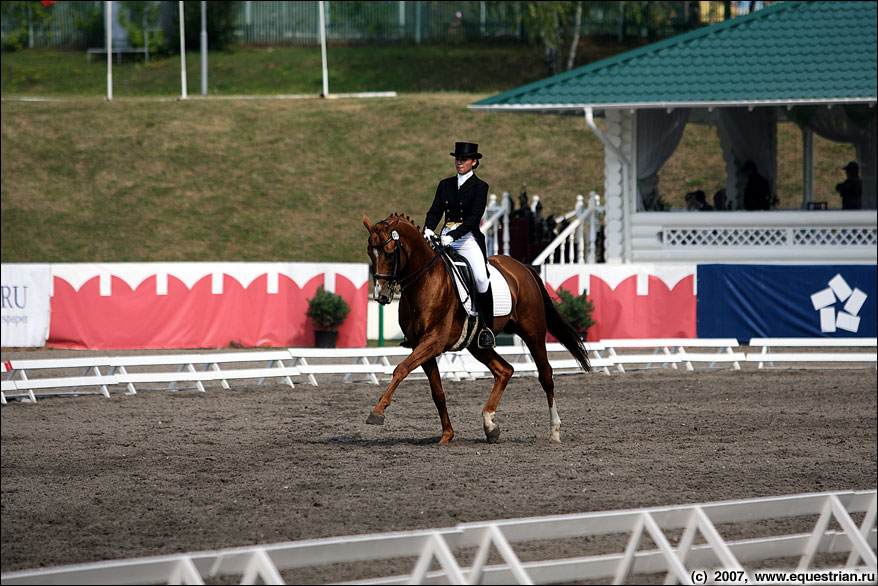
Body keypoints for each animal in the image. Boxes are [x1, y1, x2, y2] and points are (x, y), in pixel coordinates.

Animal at [360, 212, 596, 440]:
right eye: (370, 253)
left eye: (390, 253)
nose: (380, 296)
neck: (426, 281)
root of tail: (522, 267)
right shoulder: (422, 345)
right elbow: (437, 392)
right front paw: (447, 435)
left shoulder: (433, 341)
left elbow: (400, 369)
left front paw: (377, 412)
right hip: (477, 344)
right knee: (504, 370)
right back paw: (490, 425)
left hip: (533, 331)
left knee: (545, 374)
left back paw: (554, 430)